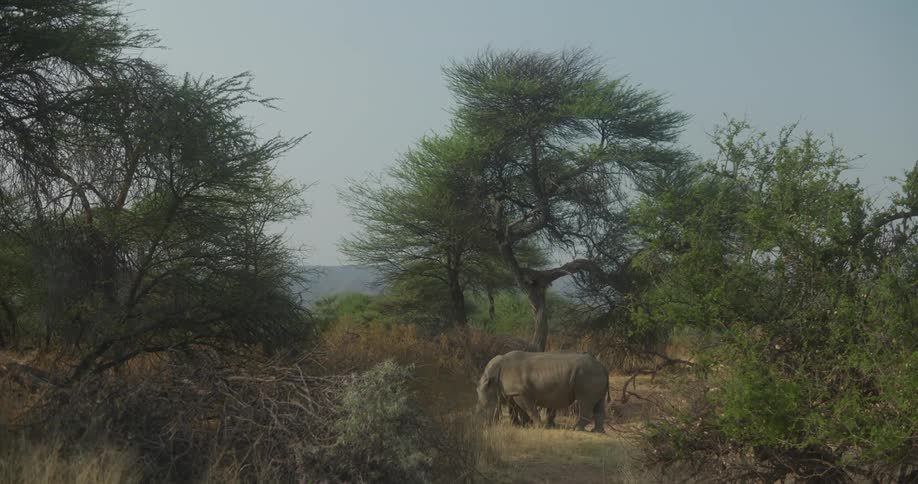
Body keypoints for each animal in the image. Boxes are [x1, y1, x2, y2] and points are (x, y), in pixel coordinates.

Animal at [476, 350, 610, 432]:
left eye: (484, 408)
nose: (483, 425)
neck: (492, 378)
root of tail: (602, 366)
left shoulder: (520, 392)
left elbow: (529, 409)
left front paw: (537, 426)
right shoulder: (512, 392)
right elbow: (514, 409)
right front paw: (520, 425)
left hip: (587, 375)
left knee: (584, 401)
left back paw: (576, 429)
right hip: (593, 374)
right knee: (598, 403)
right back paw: (597, 431)